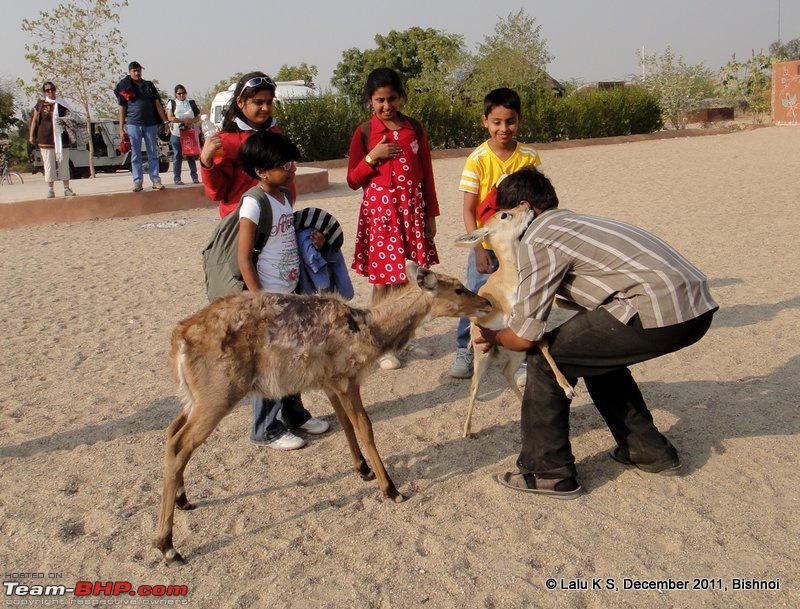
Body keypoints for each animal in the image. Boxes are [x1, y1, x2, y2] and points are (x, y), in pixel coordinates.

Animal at [149, 258, 488, 564]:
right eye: (458, 288)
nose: (485, 301)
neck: (368, 333)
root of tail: (179, 341)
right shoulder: (348, 377)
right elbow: (365, 427)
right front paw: (392, 490)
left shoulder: (329, 382)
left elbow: (346, 425)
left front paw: (363, 470)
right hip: (218, 394)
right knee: (180, 444)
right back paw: (168, 547)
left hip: (194, 397)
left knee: (171, 431)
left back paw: (183, 501)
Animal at [456, 204, 576, 436]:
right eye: (504, 214)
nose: (526, 205)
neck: (510, 280)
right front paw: (567, 389)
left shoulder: (528, 321)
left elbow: (544, 345)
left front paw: (567, 388)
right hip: (482, 360)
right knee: (474, 386)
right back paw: (466, 430)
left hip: (516, 354)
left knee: (505, 372)